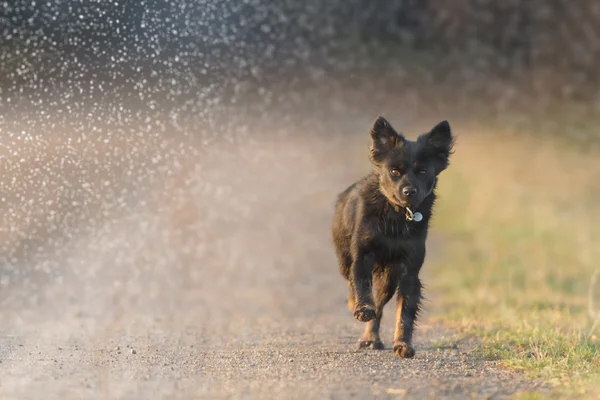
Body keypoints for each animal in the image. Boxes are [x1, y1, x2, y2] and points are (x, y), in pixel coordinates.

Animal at [330, 116, 452, 360]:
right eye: (394, 171)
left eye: (423, 172)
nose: (409, 191)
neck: (396, 214)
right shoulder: (362, 256)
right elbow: (361, 284)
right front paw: (361, 307)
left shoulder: (409, 271)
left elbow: (404, 312)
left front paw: (403, 344)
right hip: (345, 259)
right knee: (353, 284)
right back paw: (357, 310)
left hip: (389, 277)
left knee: (379, 306)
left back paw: (371, 338)